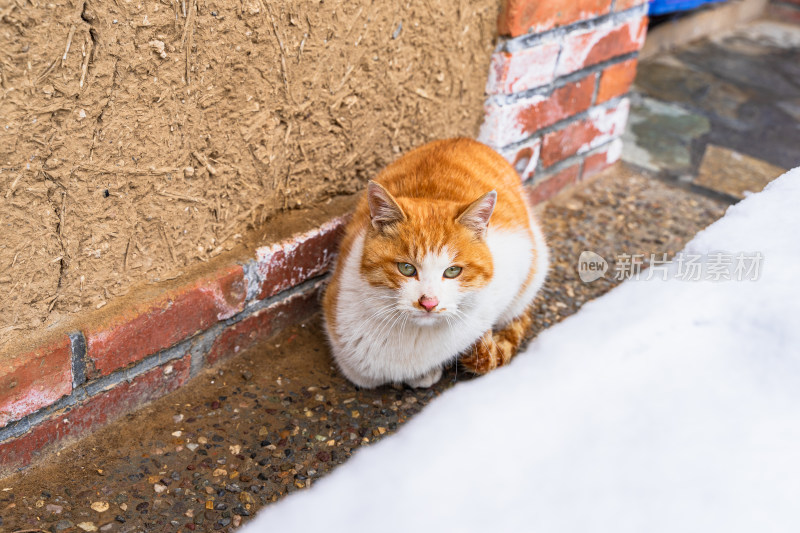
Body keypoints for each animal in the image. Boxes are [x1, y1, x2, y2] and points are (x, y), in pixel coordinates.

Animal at [322, 137, 548, 386]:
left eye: (453, 271)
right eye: (406, 268)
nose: (429, 303)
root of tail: (465, 140)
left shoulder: (517, 258)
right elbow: (360, 374)